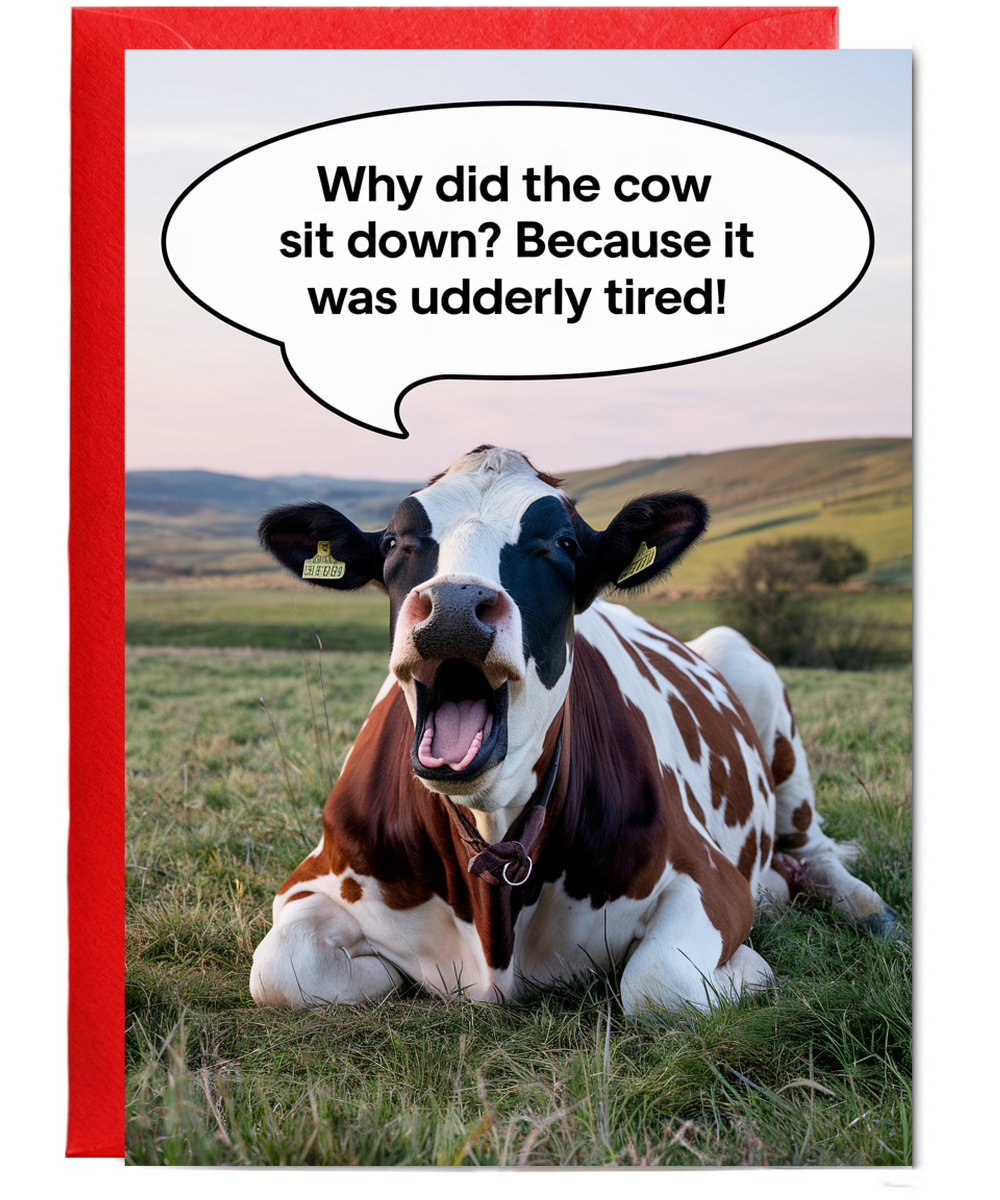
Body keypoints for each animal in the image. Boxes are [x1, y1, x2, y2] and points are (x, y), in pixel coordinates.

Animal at [250, 445, 895, 1014]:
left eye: (562, 543)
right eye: (393, 543)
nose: (455, 605)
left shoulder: (708, 878)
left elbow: (661, 983)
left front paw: (749, 968)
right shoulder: (313, 877)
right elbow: (282, 968)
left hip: (755, 682)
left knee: (813, 853)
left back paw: (866, 911)